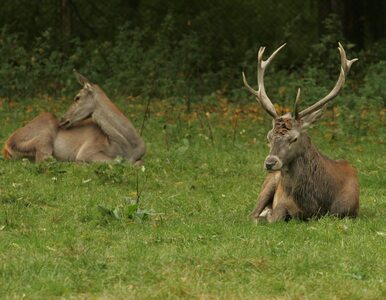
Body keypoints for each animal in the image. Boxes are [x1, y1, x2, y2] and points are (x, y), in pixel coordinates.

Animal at [3, 70, 145, 164]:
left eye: (77, 97)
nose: (62, 119)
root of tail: (7, 147)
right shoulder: (87, 150)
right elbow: (117, 162)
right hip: (44, 134)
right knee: (44, 159)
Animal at [244, 42, 358, 221]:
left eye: (294, 138)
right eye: (269, 137)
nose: (270, 163)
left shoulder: (347, 210)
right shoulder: (283, 202)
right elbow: (274, 215)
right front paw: (268, 214)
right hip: (270, 182)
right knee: (252, 214)